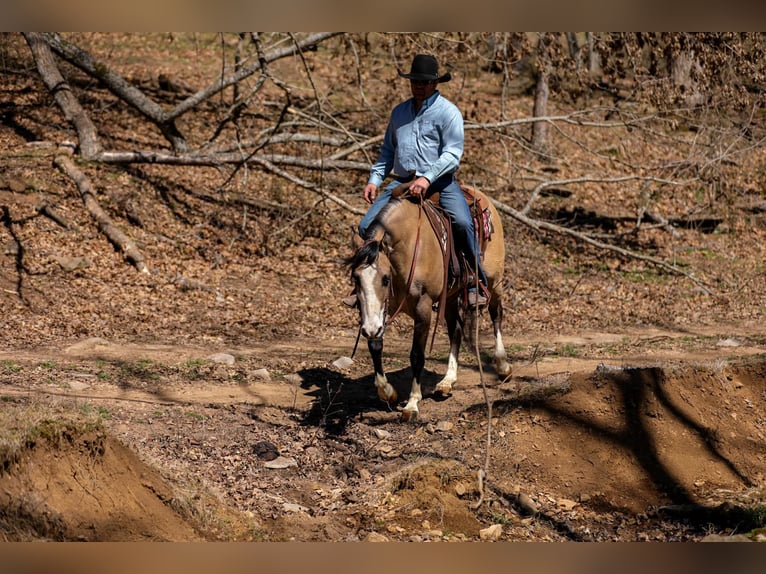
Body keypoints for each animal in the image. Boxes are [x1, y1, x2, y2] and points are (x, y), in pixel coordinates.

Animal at [346, 186, 510, 424]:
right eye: (356, 278)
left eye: (385, 278)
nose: (369, 329)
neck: (407, 249)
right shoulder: (377, 312)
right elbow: (375, 346)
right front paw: (388, 392)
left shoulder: (422, 308)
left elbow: (417, 354)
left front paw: (412, 403)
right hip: (450, 296)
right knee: (456, 330)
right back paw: (447, 381)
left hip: (494, 280)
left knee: (496, 314)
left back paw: (503, 365)